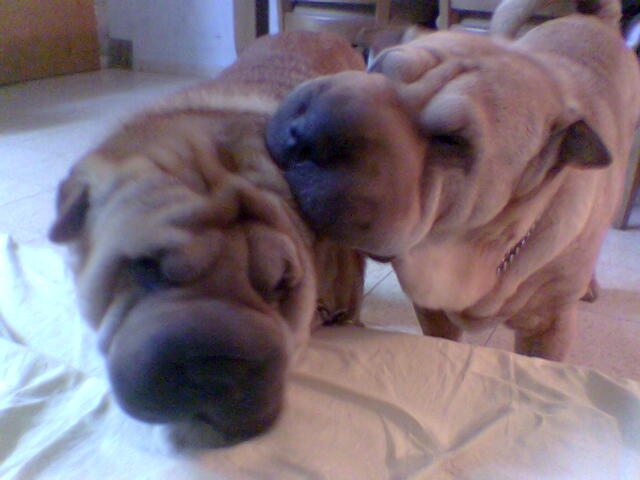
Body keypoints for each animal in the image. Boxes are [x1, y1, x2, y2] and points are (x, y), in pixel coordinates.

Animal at [266, 0, 640, 361]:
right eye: (376, 69)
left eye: (452, 142)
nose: (305, 135)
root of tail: (594, 19)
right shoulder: (430, 310)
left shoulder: (548, 329)